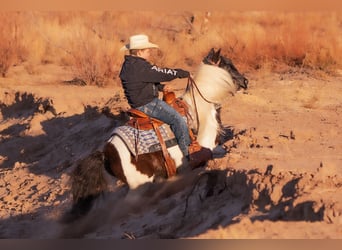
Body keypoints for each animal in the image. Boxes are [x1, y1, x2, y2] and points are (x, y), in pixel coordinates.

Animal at [66, 47, 248, 222]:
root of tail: (107, 152)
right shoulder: (208, 147)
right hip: (139, 188)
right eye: (228, 65)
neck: (200, 108)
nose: (246, 81)